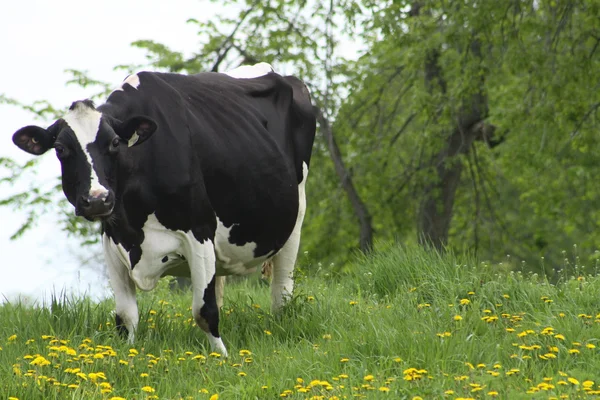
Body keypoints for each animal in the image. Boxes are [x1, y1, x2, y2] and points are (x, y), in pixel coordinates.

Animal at [11, 63, 316, 356]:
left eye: (114, 143)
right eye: (61, 149)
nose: (97, 199)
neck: (134, 223)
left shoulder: (199, 230)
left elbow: (204, 311)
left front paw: (224, 359)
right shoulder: (112, 239)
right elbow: (126, 316)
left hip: (295, 215)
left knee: (281, 291)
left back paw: (279, 323)